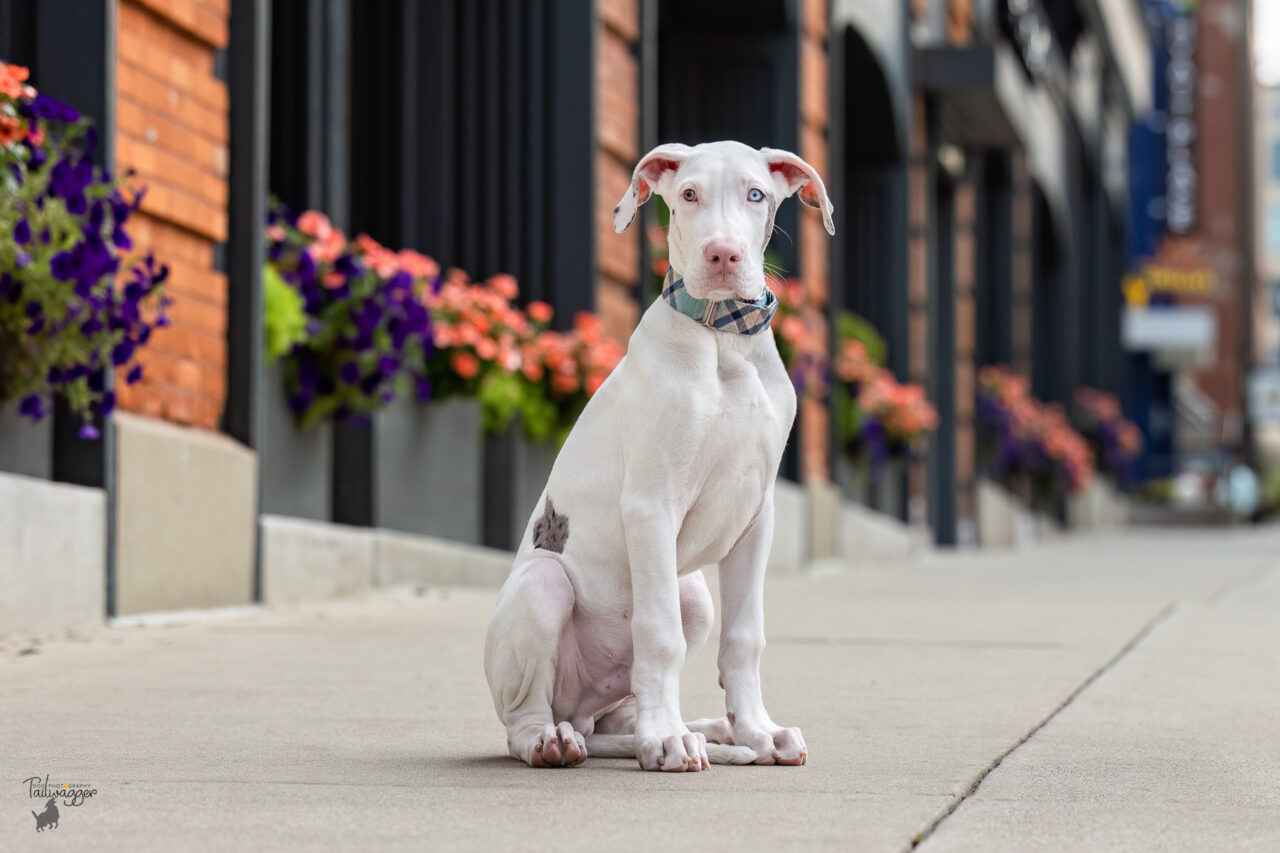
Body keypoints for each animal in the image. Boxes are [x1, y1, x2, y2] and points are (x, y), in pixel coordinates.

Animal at [483, 140, 834, 768]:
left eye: (756, 194)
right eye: (689, 195)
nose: (722, 254)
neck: (722, 340)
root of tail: (578, 713)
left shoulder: (757, 515)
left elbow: (745, 637)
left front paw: (757, 731)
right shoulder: (651, 505)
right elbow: (657, 631)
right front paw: (664, 741)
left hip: (692, 595)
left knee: (619, 709)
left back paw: (711, 730)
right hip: (544, 589)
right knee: (524, 718)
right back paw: (560, 740)